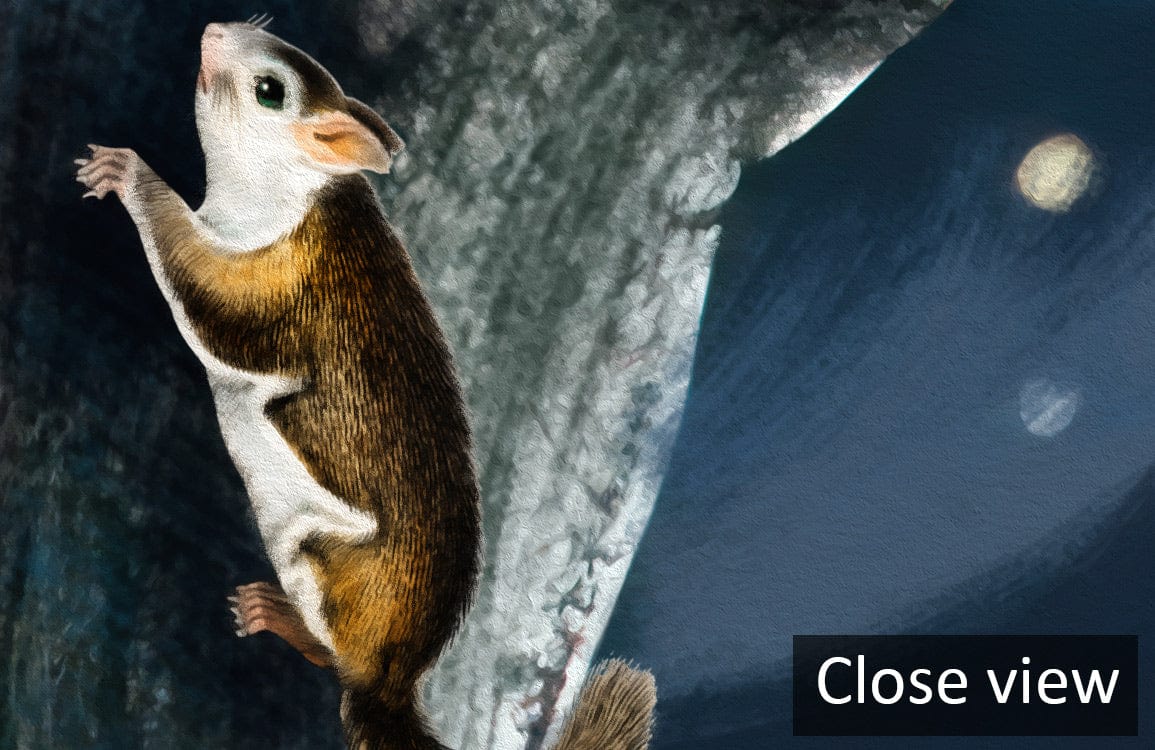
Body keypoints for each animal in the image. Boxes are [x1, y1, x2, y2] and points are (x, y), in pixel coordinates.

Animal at [75, 16, 655, 750]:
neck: (295, 188)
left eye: (270, 89)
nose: (210, 29)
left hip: (321, 562)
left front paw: (130, 174)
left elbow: (212, 298)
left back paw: (282, 620)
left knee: (331, 658)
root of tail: (391, 682)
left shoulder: (289, 279)